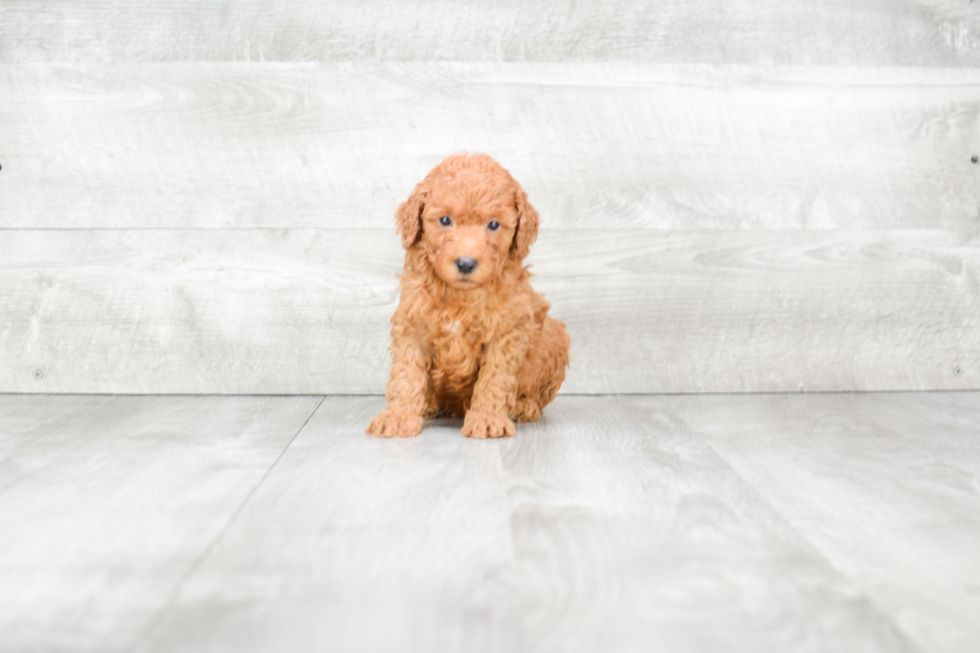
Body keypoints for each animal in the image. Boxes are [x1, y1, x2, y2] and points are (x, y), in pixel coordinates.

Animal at [366, 152, 568, 438]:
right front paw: (398, 417)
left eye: (493, 225)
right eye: (445, 220)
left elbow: (495, 378)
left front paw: (487, 418)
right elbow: (406, 374)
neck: (461, 296)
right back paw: (430, 404)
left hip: (555, 337)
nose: (465, 263)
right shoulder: (412, 324)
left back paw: (523, 406)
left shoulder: (507, 330)